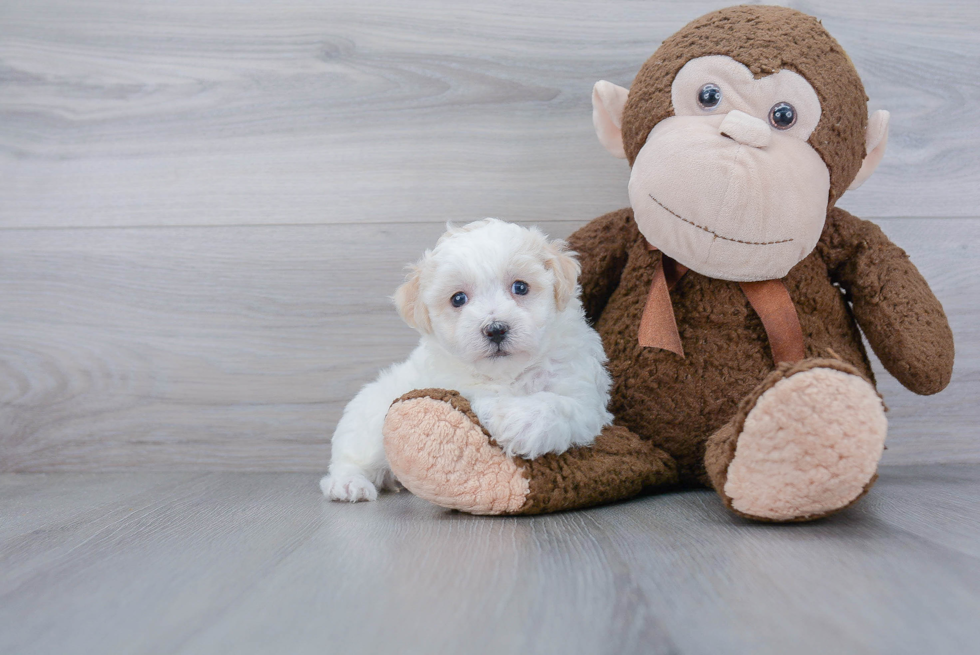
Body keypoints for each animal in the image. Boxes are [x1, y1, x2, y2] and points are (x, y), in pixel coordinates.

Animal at [322, 220, 612, 502]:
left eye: (520, 287)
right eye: (458, 298)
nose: (495, 329)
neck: (507, 373)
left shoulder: (584, 396)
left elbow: (560, 404)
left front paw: (518, 423)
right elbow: (477, 397)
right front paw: (496, 411)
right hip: (370, 426)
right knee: (351, 459)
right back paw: (348, 484)